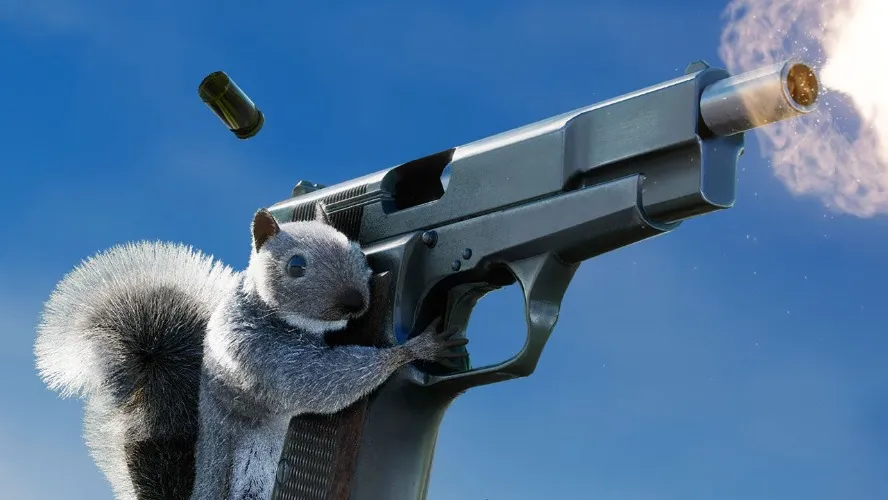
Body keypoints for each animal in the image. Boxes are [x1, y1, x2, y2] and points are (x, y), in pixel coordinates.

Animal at [34, 205, 468, 500]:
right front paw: (415, 348)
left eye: (358, 252)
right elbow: (317, 382)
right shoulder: (255, 350)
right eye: (295, 265)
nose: (354, 302)